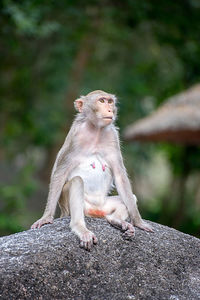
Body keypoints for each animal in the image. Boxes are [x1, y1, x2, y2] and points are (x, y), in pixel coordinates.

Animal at [31, 90, 153, 250]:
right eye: (101, 101)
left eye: (110, 102)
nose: (109, 110)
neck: (96, 130)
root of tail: (95, 211)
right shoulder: (75, 136)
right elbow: (60, 173)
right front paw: (46, 217)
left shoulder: (112, 136)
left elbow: (120, 176)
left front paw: (138, 222)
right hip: (75, 207)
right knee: (76, 182)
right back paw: (80, 228)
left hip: (104, 206)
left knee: (130, 198)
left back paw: (116, 220)